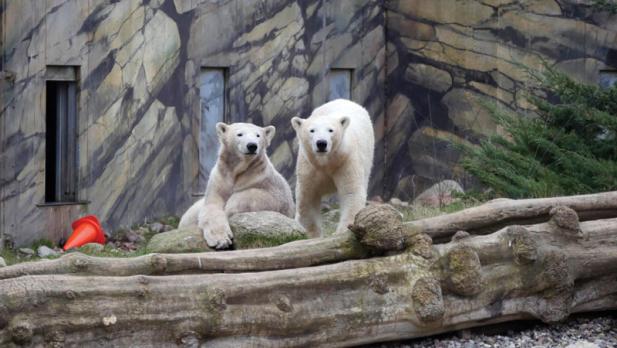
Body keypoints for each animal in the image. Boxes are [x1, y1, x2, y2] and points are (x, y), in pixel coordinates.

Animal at [292, 99, 372, 238]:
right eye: (312, 130)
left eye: (331, 130)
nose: (321, 143)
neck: (326, 161)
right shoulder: (309, 165)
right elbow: (308, 195)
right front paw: (311, 234)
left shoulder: (346, 161)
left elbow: (351, 191)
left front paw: (343, 231)